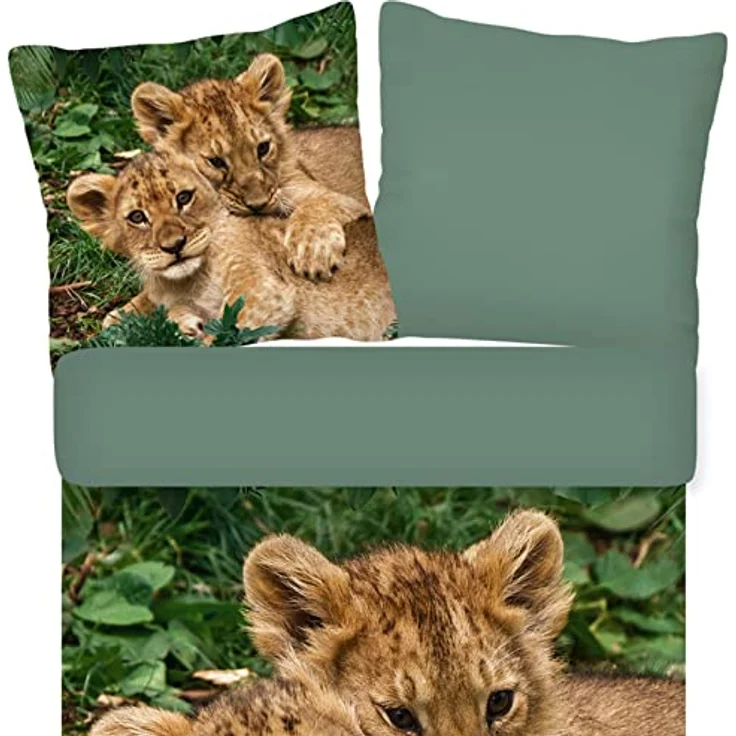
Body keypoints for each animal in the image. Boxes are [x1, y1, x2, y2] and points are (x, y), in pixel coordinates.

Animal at [66, 149, 395, 342]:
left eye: (184, 198)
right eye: (137, 217)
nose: (174, 246)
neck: (184, 284)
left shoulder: (263, 293)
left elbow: (228, 334)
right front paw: (181, 323)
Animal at [131, 54, 371, 282]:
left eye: (263, 148)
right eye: (216, 161)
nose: (259, 205)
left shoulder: (341, 199)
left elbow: (316, 204)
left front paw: (312, 253)